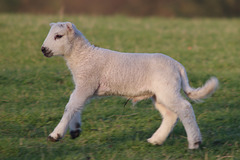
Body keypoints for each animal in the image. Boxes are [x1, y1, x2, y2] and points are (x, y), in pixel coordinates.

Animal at [40, 21, 218, 149]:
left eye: (58, 36)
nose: (43, 49)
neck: (83, 56)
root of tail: (178, 66)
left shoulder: (87, 83)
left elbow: (70, 106)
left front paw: (55, 135)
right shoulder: (85, 86)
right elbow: (76, 106)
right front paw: (75, 130)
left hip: (168, 89)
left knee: (185, 108)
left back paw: (194, 143)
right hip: (160, 93)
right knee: (171, 115)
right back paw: (156, 140)